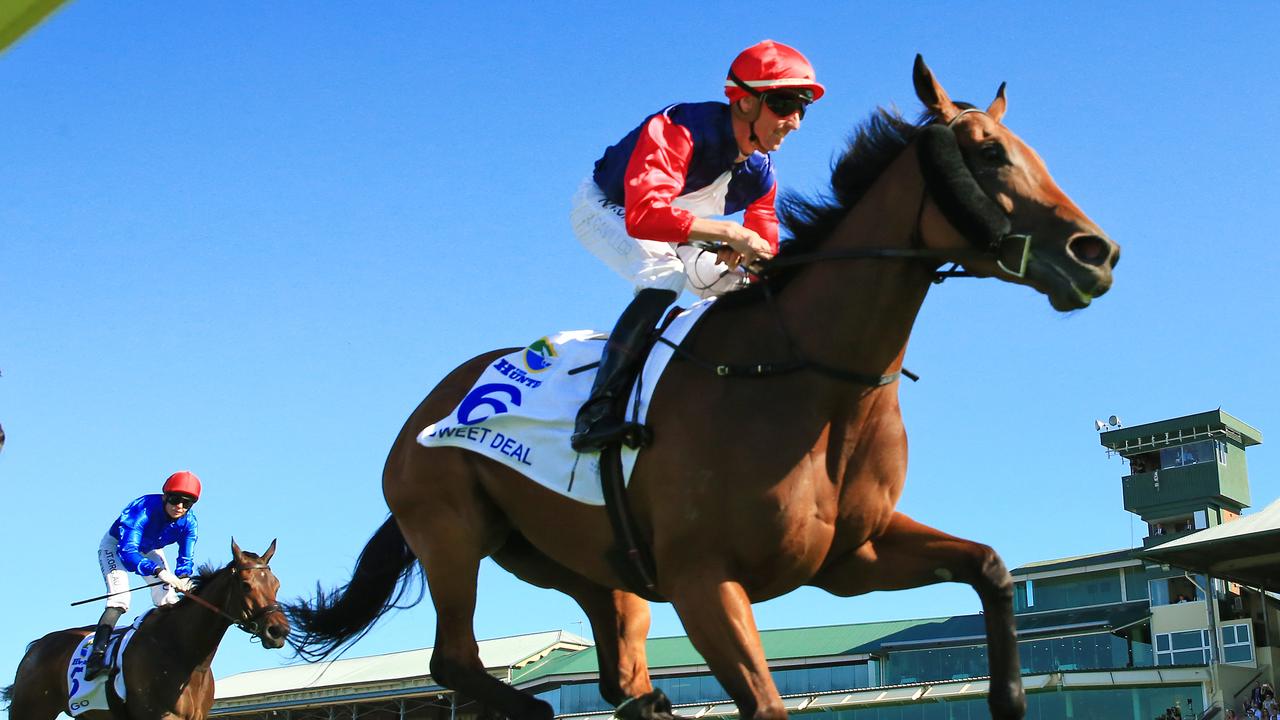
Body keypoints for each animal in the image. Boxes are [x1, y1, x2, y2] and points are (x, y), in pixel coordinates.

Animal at [3, 538, 289, 717]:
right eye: (246, 585)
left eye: (276, 584)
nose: (279, 631)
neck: (186, 653)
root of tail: (36, 646)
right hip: (31, 710)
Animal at [290, 56, 1121, 717]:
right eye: (989, 153)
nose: (1097, 253)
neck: (812, 380)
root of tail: (429, 406)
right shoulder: (703, 580)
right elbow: (764, 703)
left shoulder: (853, 557)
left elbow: (990, 567)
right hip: (451, 528)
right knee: (455, 661)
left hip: (594, 570)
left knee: (621, 680)